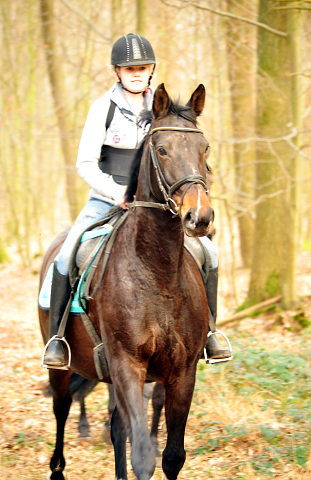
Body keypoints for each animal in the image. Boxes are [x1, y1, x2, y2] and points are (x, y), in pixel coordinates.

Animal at [39, 83, 214, 480]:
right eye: (161, 149)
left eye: (205, 148)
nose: (199, 217)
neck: (158, 274)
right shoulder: (128, 365)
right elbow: (143, 457)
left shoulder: (182, 372)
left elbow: (172, 456)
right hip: (64, 366)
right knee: (62, 407)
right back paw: (57, 467)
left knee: (117, 428)